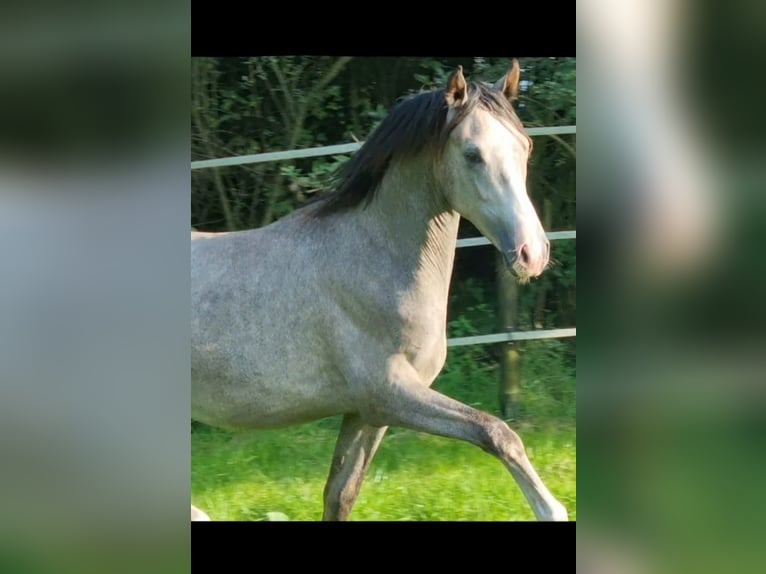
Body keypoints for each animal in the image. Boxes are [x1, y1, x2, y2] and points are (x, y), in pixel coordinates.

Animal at [190, 62, 568, 520]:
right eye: (472, 154)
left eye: (525, 147)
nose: (532, 253)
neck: (371, 259)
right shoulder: (388, 393)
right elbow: (496, 431)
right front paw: (553, 509)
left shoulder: (366, 412)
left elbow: (339, 495)